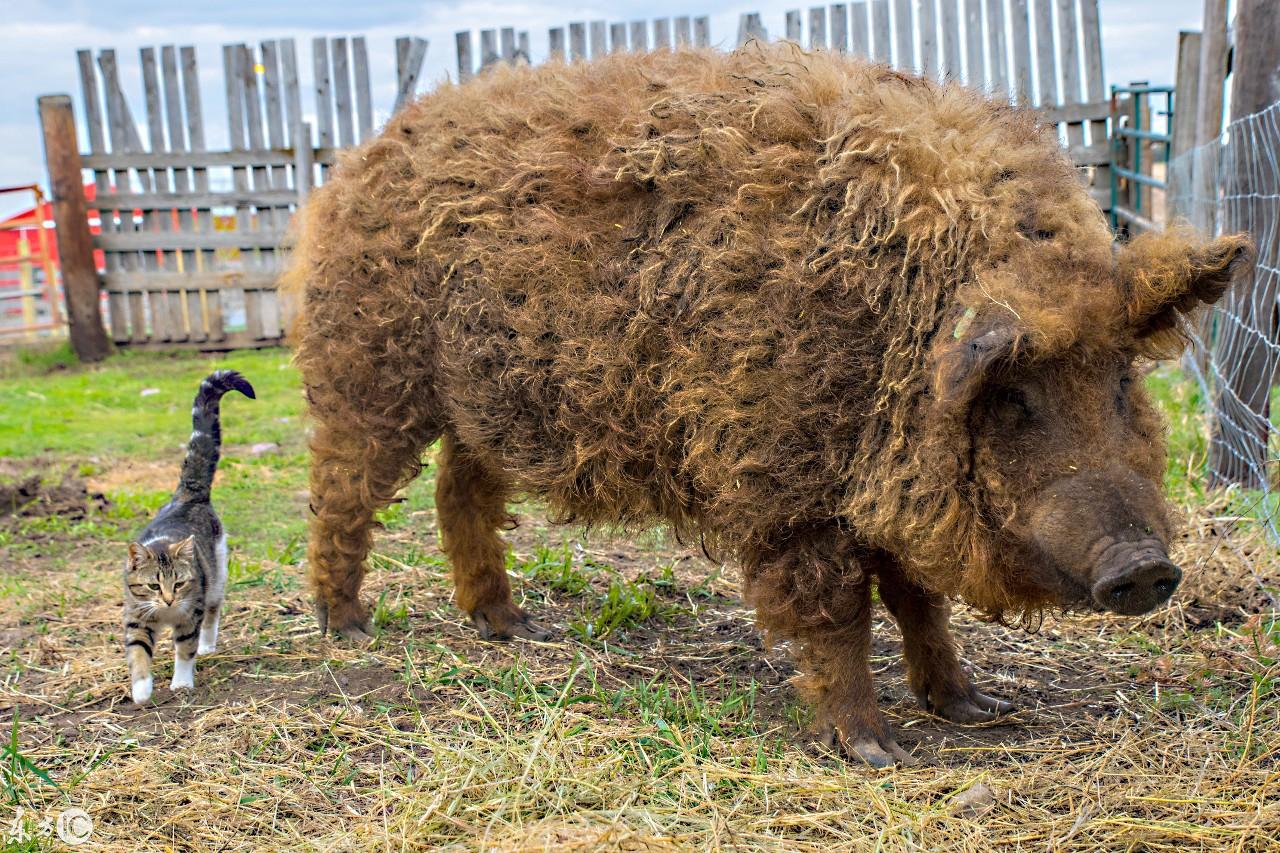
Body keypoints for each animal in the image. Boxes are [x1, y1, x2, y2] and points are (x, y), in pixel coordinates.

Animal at [122, 368, 254, 701]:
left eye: (179, 584)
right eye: (153, 586)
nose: (169, 601)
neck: (166, 616)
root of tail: (188, 495)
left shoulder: (189, 615)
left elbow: (185, 649)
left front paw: (181, 682)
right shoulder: (136, 618)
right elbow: (138, 653)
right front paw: (141, 690)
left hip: (216, 577)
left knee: (213, 612)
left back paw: (207, 645)